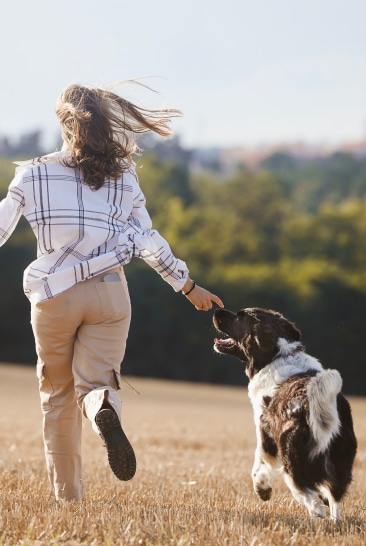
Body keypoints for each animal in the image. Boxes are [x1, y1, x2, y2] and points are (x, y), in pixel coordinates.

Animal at [213, 306, 356, 520]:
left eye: (240, 316)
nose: (217, 310)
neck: (276, 355)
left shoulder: (265, 433)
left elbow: (259, 465)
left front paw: (262, 490)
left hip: (291, 464)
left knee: (312, 502)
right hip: (339, 467)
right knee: (334, 502)